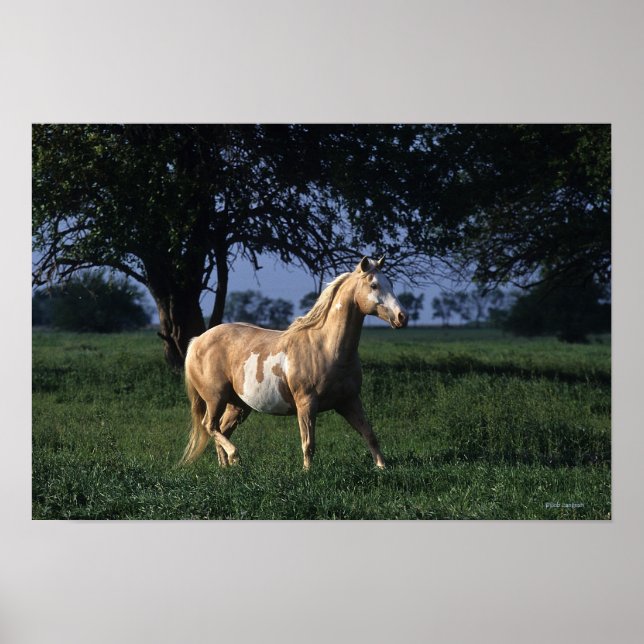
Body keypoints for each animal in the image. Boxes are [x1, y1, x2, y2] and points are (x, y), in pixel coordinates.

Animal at [181, 255, 408, 470]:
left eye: (390, 283)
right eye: (374, 285)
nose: (402, 317)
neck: (326, 348)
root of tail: (197, 341)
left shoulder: (349, 401)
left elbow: (369, 434)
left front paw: (382, 467)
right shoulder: (306, 403)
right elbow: (308, 443)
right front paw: (307, 472)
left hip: (238, 405)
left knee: (221, 429)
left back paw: (226, 467)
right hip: (215, 398)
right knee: (210, 426)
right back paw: (235, 456)